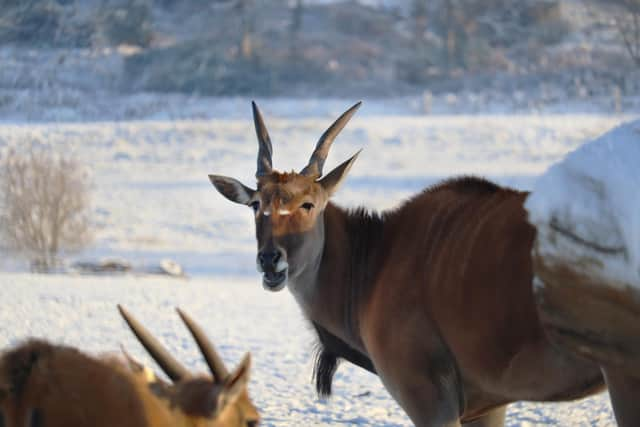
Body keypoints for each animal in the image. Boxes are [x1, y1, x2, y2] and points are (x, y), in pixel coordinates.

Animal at [209, 102, 604, 426]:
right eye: (256, 204)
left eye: (308, 204)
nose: (270, 260)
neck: (376, 258)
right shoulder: (489, 406)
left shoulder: (430, 400)